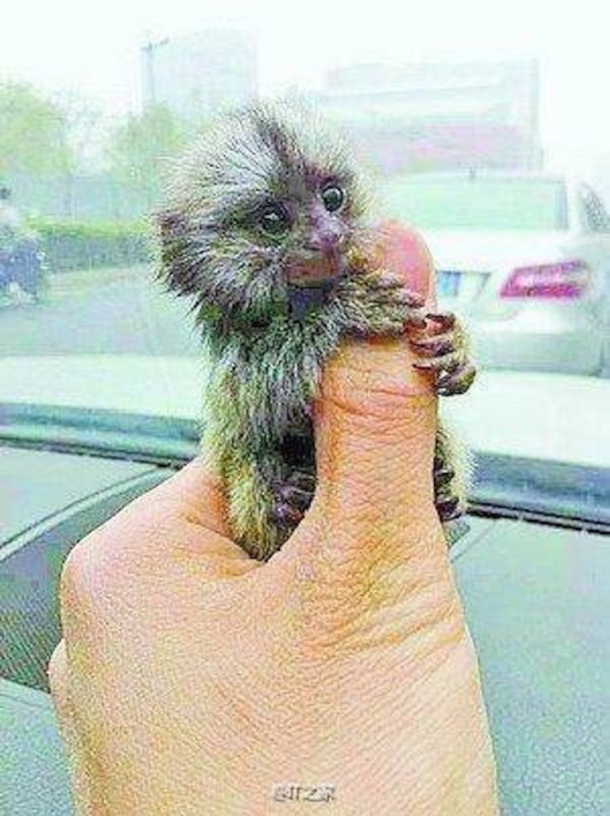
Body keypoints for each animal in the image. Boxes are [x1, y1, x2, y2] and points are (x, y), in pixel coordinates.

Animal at [156, 100, 476, 562]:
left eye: (332, 198)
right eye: (273, 220)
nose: (329, 234)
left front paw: (458, 348)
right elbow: (244, 400)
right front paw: (346, 308)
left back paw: (441, 484)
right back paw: (276, 500)